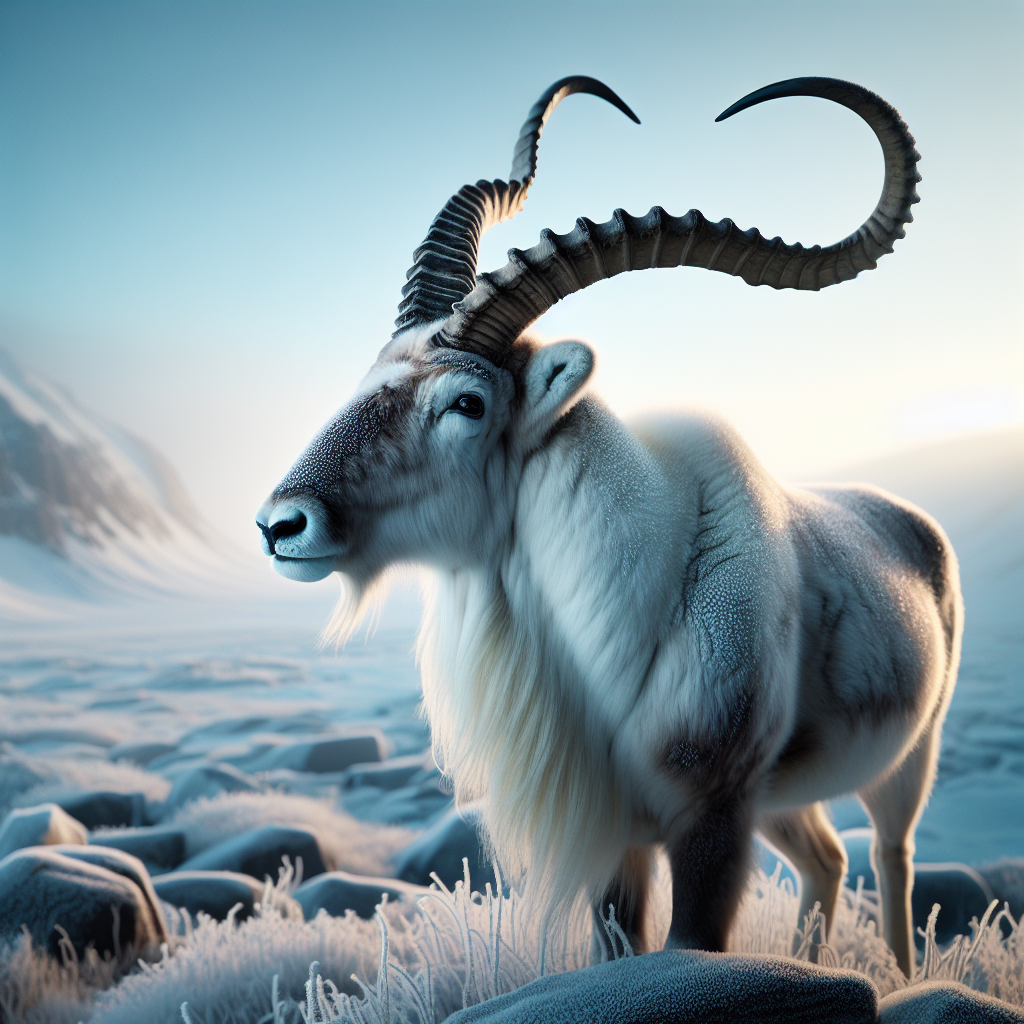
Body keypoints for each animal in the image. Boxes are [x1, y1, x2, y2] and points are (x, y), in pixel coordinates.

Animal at [257, 77, 960, 978]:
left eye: (467, 402)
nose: (283, 524)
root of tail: (912, 525)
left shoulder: (711, 824)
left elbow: (695, 944)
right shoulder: (623, 842)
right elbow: (616, 952)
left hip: (904, 767)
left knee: (892, 857)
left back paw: (902, 976)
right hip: (781, 803)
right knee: (829, 860)